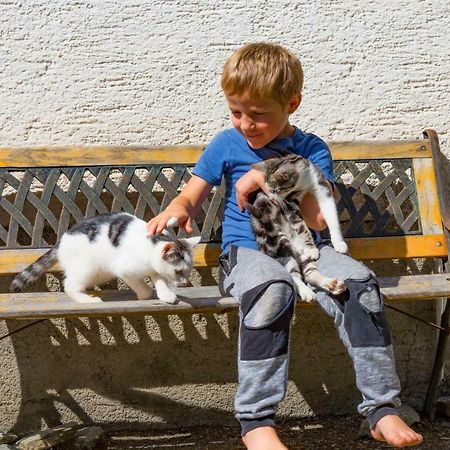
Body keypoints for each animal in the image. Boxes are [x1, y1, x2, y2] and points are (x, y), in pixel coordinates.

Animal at [10, 213, 201, 304]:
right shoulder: (125, 270)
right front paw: (144, 295)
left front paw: (166, 294)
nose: (186, 282)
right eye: (178, 271)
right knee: (69, 286)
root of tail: (61, 241)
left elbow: (159, 280)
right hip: (86, 268)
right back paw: (88, 300)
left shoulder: (155, 268)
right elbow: (142, 286)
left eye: (187, 271)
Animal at [246, 154, 348, 302]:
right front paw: (311, 248)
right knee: (293, 276)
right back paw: (306, 291)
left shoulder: (322, 188)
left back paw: (332, 285)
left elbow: (331, 216)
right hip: (279, 242)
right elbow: (302, 227)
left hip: (299, 254)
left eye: (275, 189)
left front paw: (339, 242)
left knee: (309, 274)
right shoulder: (290, 205)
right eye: (268, 188)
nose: (271, 197)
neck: (303, 181)